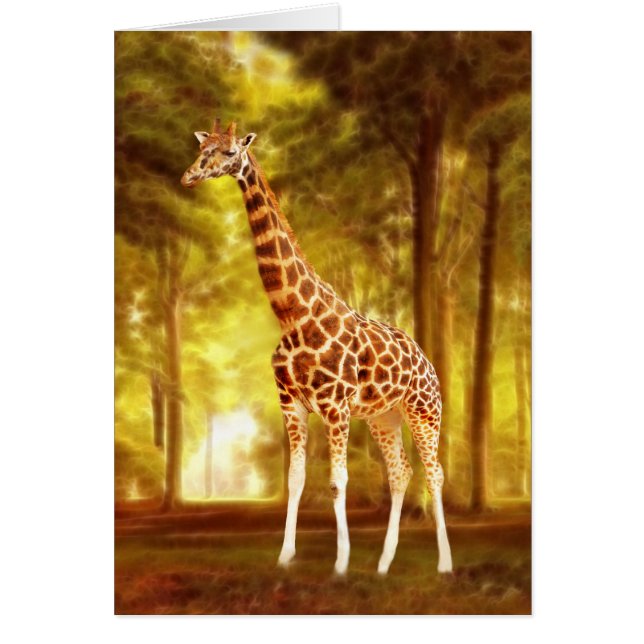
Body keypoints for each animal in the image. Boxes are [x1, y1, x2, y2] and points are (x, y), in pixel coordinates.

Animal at [181, 119, 452, 576]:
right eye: (203, 149)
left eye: (230, 151)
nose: (189, 176)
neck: (292, 316)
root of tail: (428, 362)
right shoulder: (290, 402)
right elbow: (296, 478)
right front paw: (286, 556)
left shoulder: (335, 405)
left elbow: (337, 481)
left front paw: (340, 562)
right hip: (383, 416)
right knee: (401, 472)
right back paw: (383, 564)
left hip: (423, 411)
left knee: (435, 473)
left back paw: (445, 564)